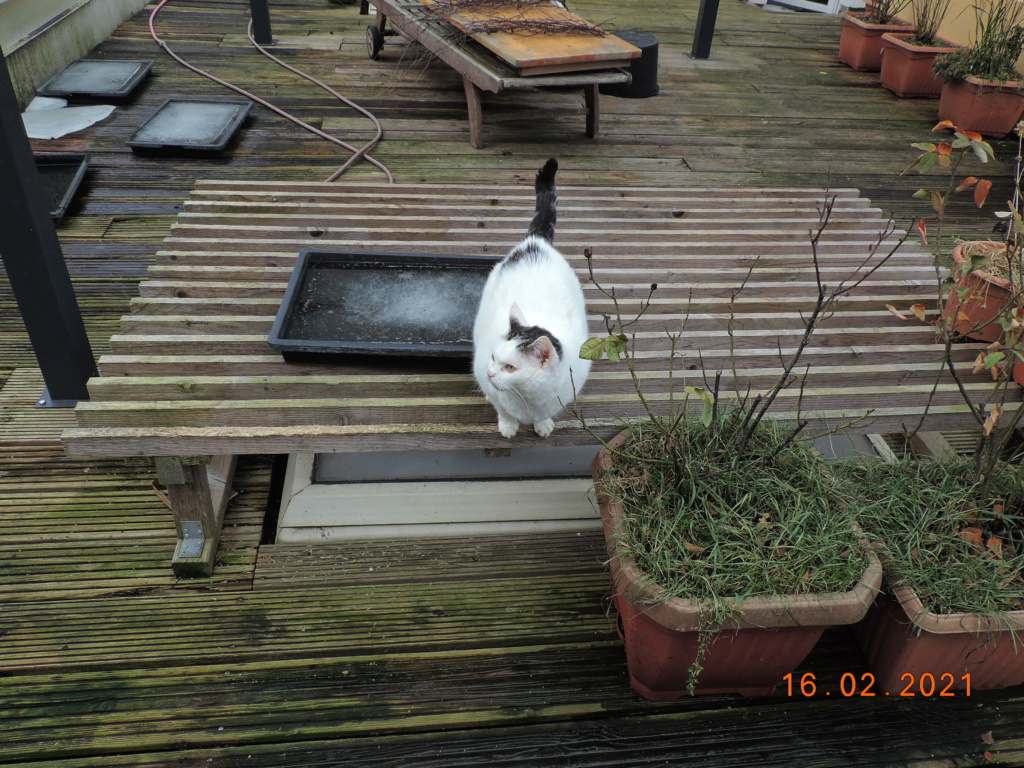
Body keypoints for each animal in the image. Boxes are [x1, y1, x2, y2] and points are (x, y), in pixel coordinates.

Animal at [471, 158, 593, 436]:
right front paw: (507, 425)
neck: (527, 398)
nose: (491, 374)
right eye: (493, 357)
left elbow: (544, 414)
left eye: (511, 367)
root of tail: (535, 241)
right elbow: (503, 409)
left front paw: (543, 424)